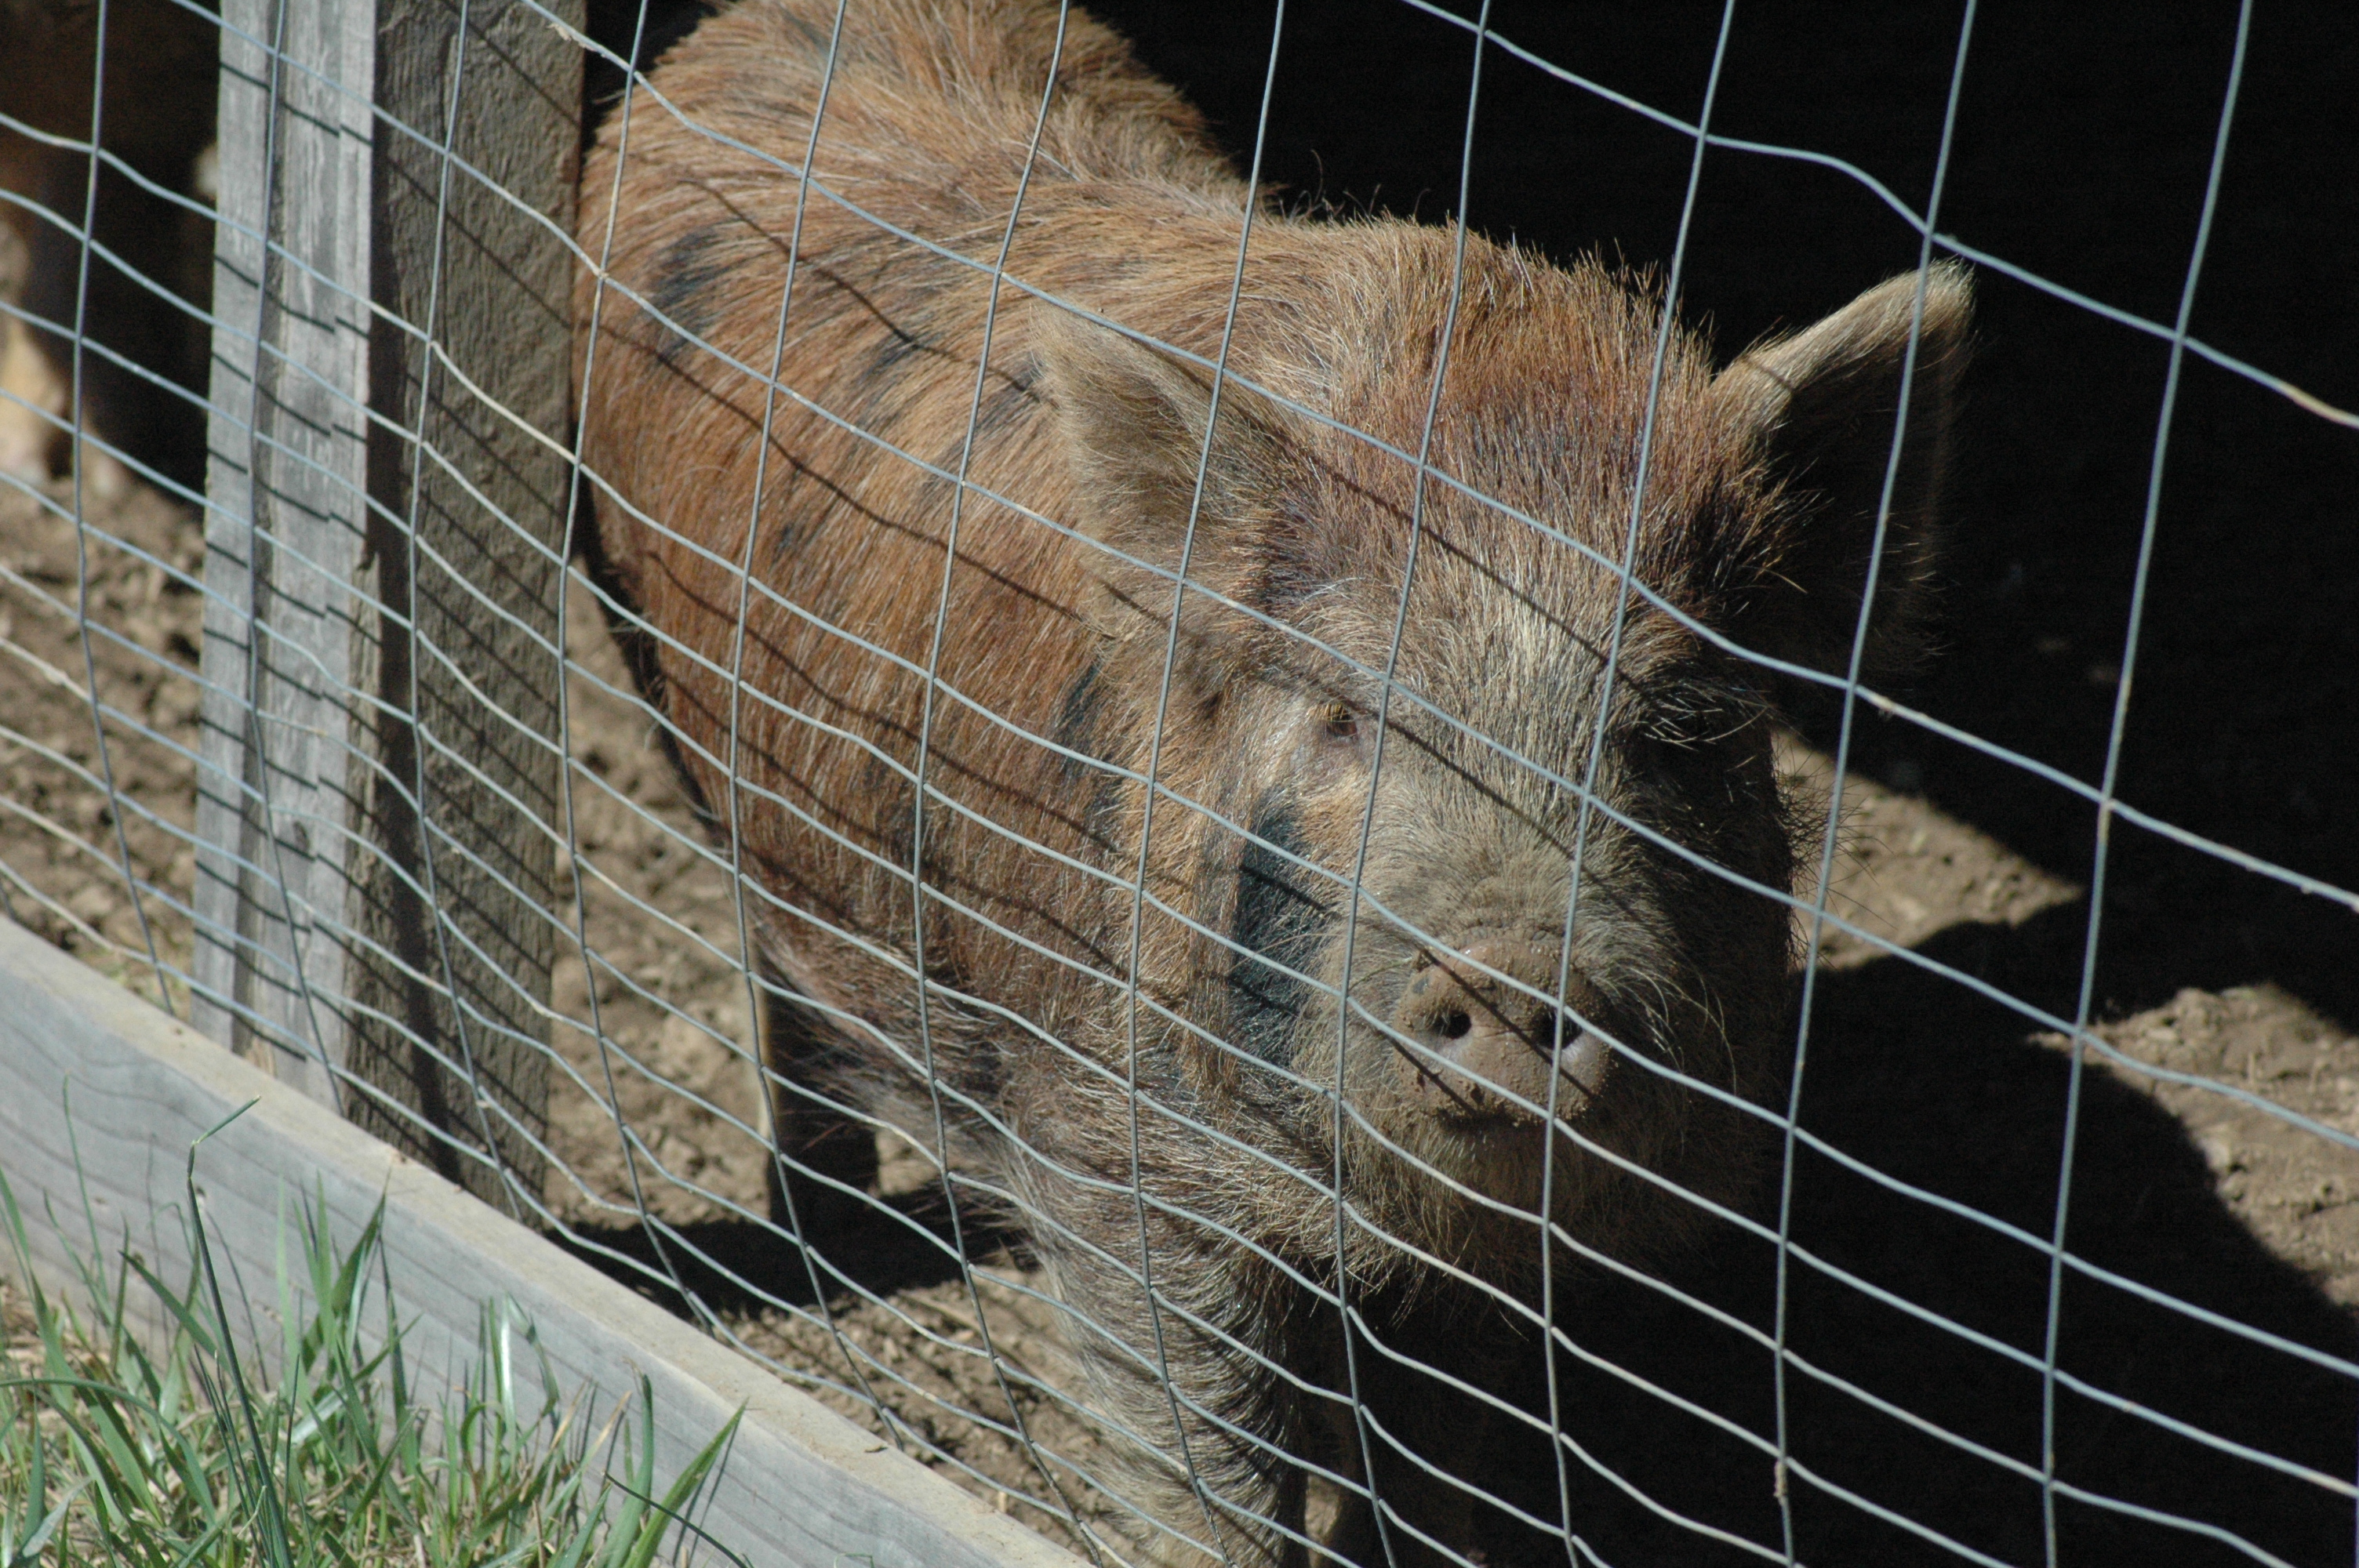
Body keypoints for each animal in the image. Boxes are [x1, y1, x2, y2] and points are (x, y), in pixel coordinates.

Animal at [573, 0, 1970, 1562]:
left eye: (1677, 728)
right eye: (1342, 717)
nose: (1515, 969)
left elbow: (1435, 1457)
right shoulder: (1113, 1155)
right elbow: (1207, 1459)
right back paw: (830, 1239)